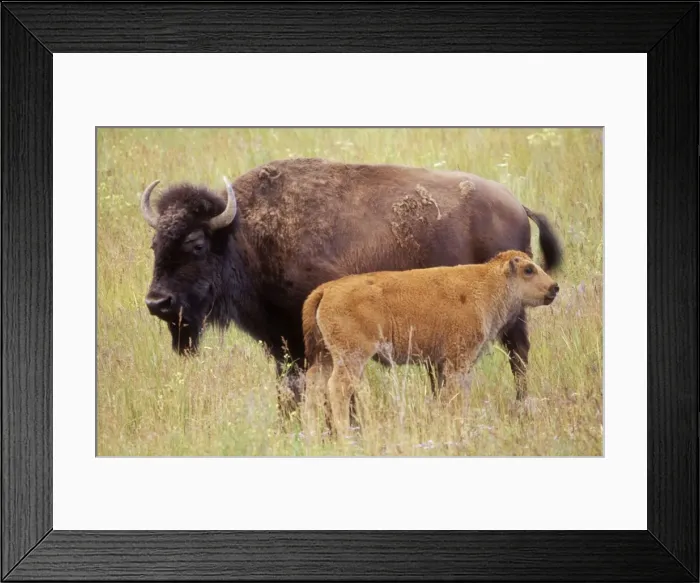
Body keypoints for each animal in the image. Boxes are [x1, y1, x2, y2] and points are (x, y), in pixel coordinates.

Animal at [139, 157, 562, 414]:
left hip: (513, 312)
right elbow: (289, 388)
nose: (157, 302)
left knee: (518, 354)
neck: (245, 234)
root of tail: (516, 204)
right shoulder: (282, 342)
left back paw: (521, 407)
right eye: (155, 244)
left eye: (196, 244)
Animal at [301, 250, 559, 434]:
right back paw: (344, 434)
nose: (554, 287)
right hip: (351, 358)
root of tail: (326, 289)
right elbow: (456, 396)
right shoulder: (457, 361)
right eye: (528, 269)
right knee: (338, 388)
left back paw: (311, 433)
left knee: (314, 385)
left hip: (325, 356)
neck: (487, 284)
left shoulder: (446, 364)